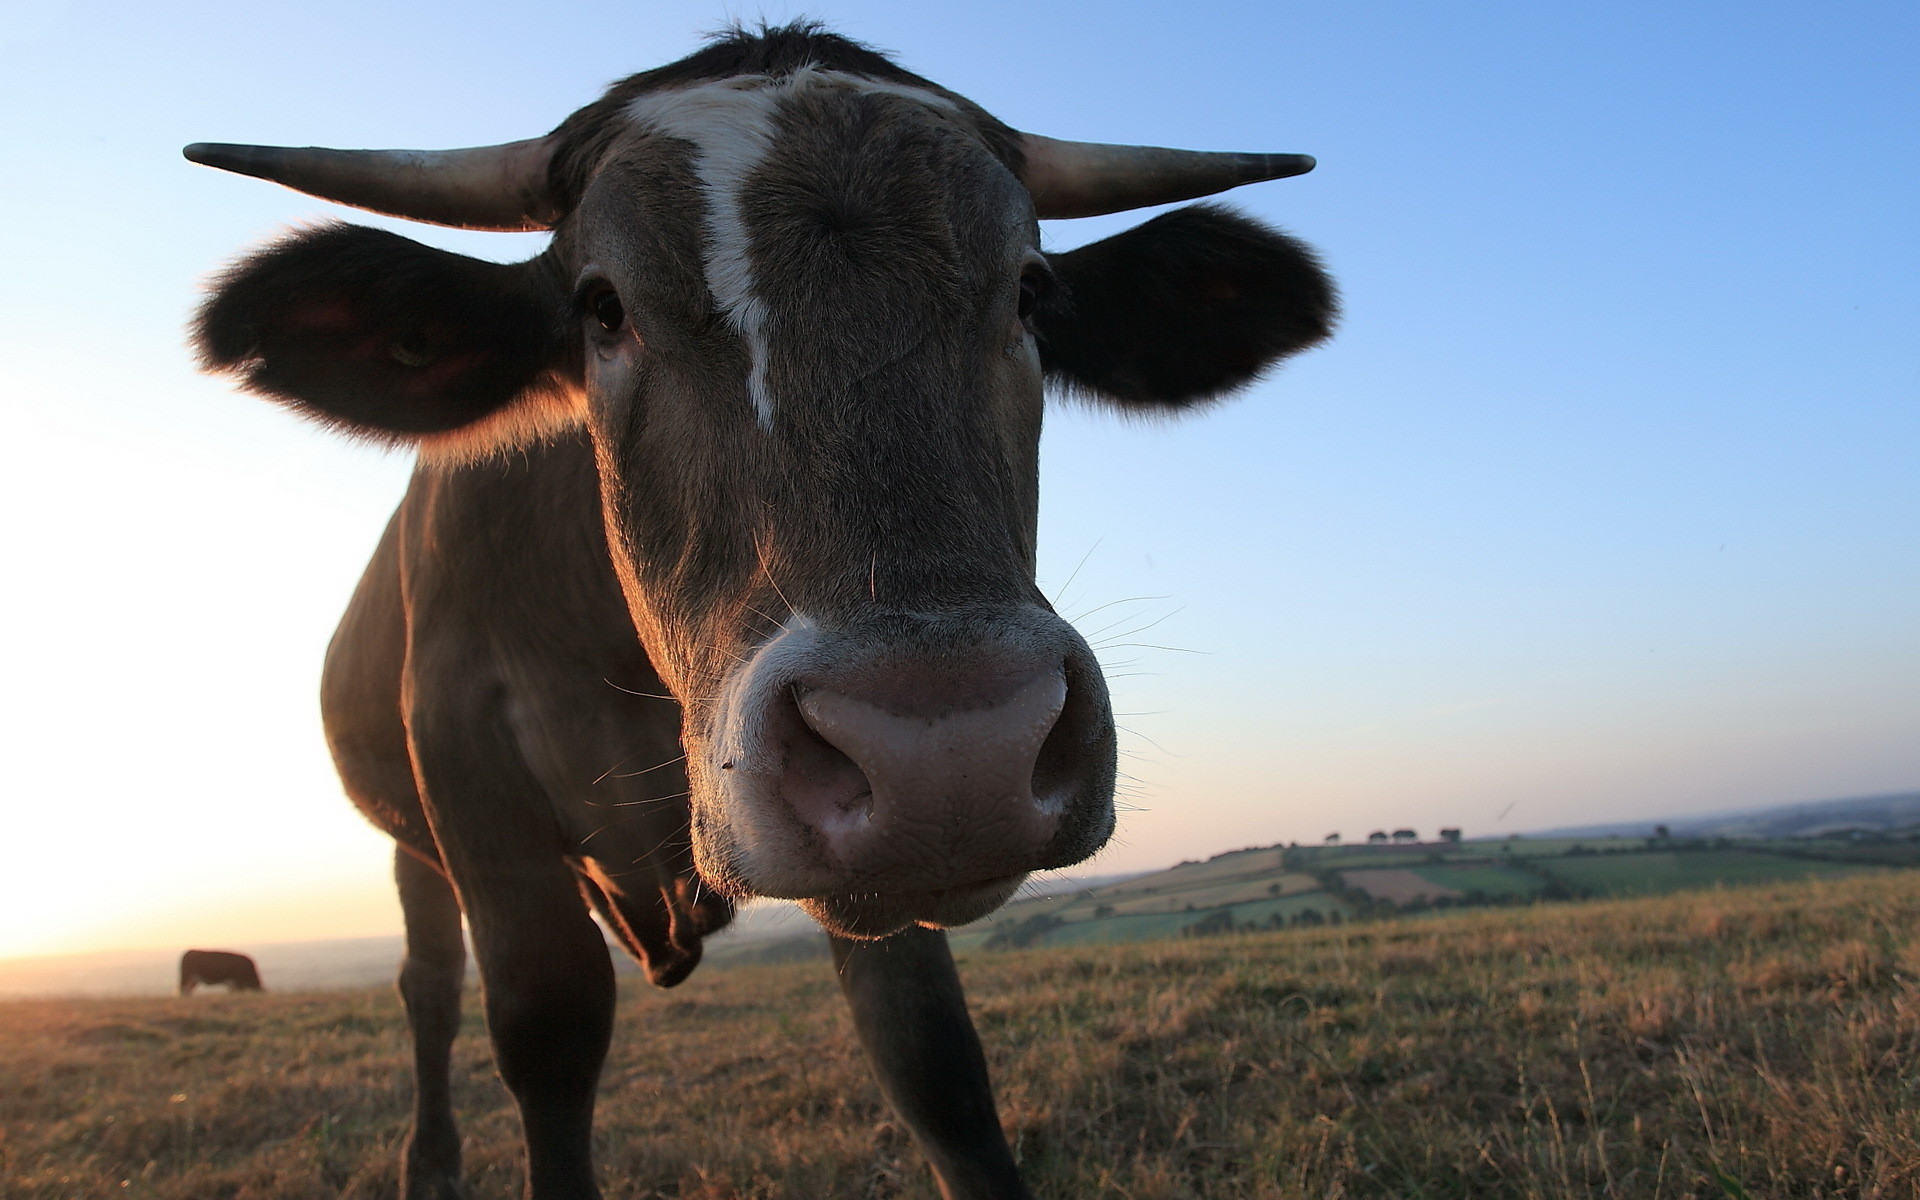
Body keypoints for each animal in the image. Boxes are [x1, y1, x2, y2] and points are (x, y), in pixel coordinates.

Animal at [191, 21, 1336, 1198]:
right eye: (602, 307)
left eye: (1029, 290)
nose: (950, 749)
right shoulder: (469, 772)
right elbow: (546, 1026)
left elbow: (931, 1055)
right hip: (411, 841)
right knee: (426, 984)